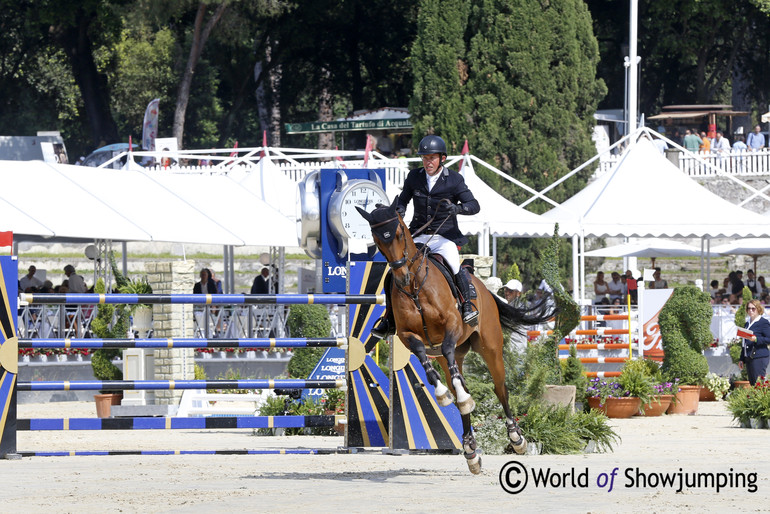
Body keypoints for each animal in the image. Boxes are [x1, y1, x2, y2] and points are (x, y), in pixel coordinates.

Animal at [354, 200, 552, 472]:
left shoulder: (452, 325)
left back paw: (516, 438)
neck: (416, 286)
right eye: (376, 239)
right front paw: (442, 394)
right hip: (452, 355)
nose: (402, 277)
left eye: (398, 234)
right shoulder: (407, 335)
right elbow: (424, 359)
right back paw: (470, 450)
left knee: (500, 388)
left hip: (490, 348)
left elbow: (449, 349)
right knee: (460, 387)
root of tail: (484, 289)